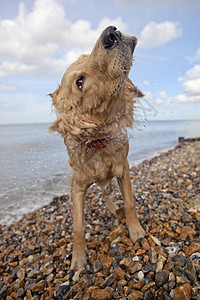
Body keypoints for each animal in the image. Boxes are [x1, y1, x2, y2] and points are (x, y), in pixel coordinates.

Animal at [49, 25, 145, 270]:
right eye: (79, 82)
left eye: (86, 55)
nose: (111, 33)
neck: (98, 144)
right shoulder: (78, 187)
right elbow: (78, 227)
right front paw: (78, 260)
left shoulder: (123, 169)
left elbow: (130, 203)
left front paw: (136, 231)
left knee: (108, 194)